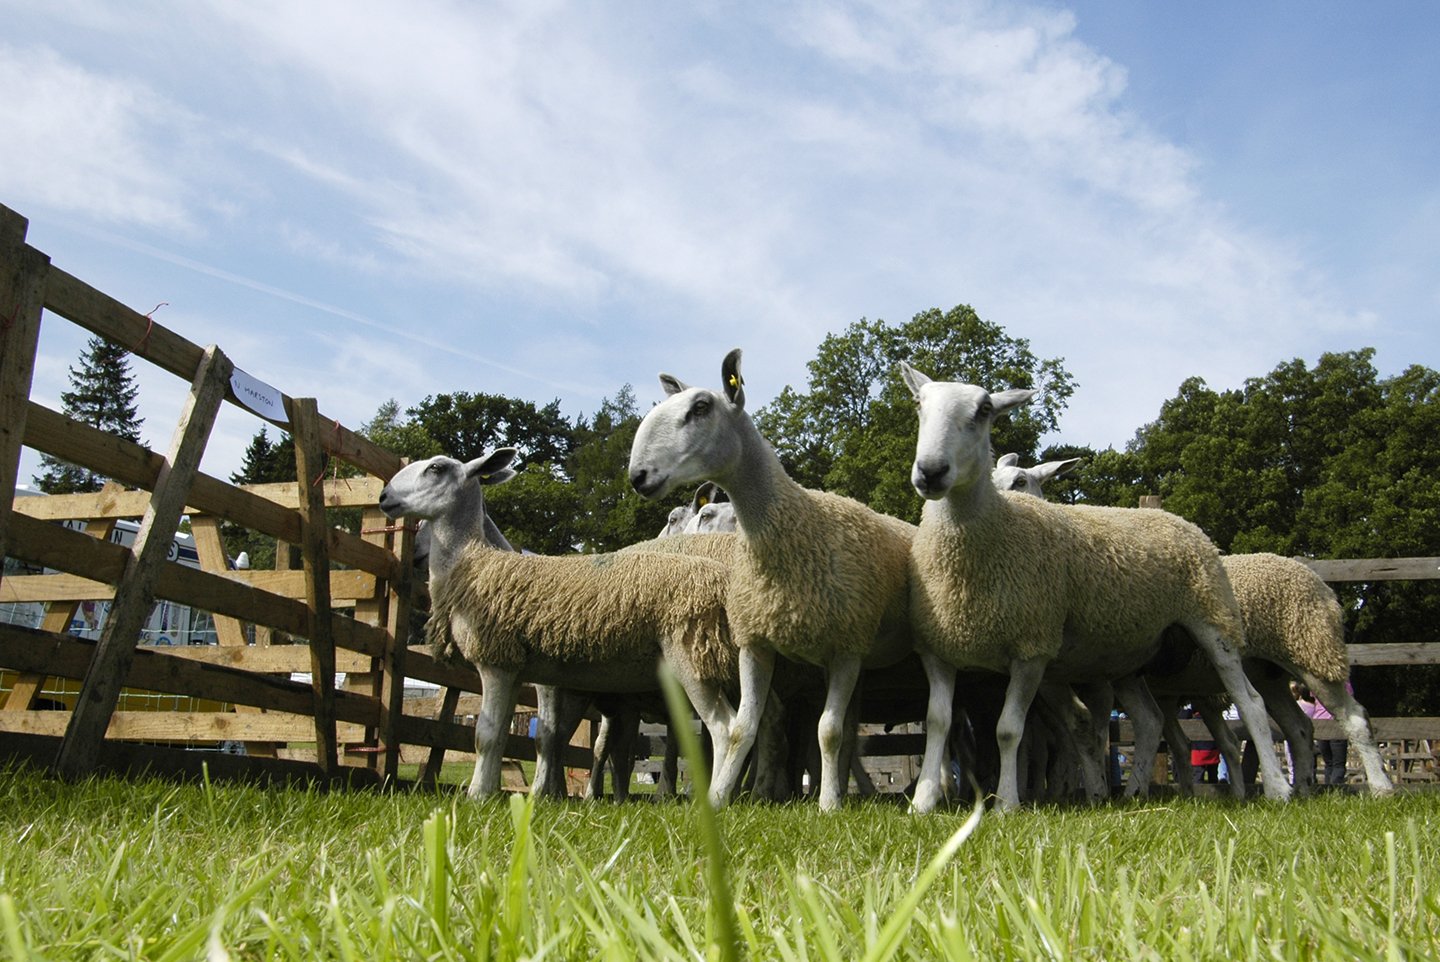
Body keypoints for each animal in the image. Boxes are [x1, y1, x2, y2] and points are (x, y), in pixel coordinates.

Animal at [629, 348, 915, 811]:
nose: (638, 476)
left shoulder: (846, 647)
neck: (796, 525)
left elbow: (827, 731)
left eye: (701, 408)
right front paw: (718, 800)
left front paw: (829, 806)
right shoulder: (755, 643)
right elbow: (743, 728)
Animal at [899, 362, 1291, 811]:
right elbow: (938, 723)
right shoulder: (939, 649)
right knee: (1150, 718)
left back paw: (1278, 789)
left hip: (1213, 618)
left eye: (984, 410)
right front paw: (924, 801)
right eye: (919, 404)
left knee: (1250, 702)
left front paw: (1008, 803)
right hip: (1131, 655)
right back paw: (1135, 791)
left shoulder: (1033, 649)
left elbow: (1010, 730)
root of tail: (1177, 519)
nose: (930, 472)